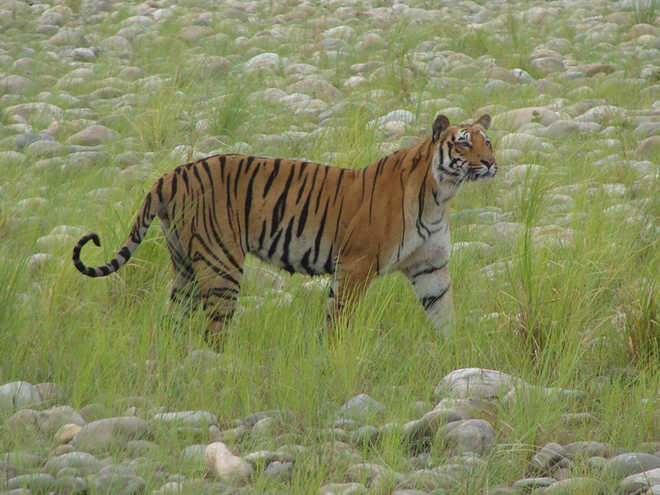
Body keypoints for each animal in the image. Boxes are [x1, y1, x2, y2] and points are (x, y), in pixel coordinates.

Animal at [73, 113, 496, 344]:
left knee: (172, 322)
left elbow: (444, 313)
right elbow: (339, 319)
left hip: (184, 266)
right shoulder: (356, 265)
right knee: (214, 331)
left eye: (487, 141)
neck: (441, 194)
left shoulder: (430, 266)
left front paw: (456, 357)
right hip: (220, 265)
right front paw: (335, 356)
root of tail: (170, 175)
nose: (491, 163)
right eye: (463, 144)